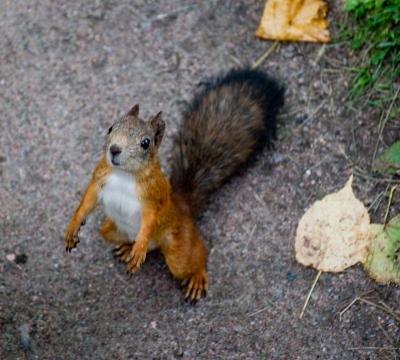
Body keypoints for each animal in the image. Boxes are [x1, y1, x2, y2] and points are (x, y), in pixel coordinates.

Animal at [65, 67, 284, 300]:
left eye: (146, 143)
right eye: (110, 128)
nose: (114, 150)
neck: (124, 175)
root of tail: (183, 205)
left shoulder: (154, 196)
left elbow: (150, 218)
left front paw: (140, 246)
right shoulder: (100, 177)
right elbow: (88, 200)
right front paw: (73, 226)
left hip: (180, 246)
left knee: (194, 257)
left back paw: (194, 275)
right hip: (111, 231)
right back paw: (128, 247)